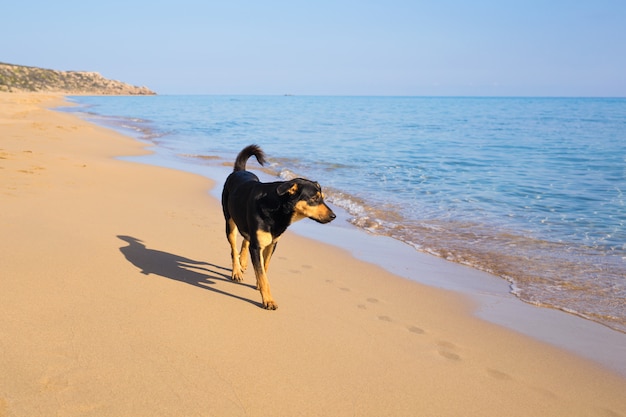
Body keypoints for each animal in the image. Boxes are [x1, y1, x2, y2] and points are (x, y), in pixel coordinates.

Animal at [221, 145, 334, 308]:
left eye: (323, 198)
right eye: (314, 198)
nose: (333, 216)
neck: (278, 209)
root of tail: (239, 171)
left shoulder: (272, 244)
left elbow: (265, 267)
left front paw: (259, 284)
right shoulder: (257, 247)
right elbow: (262, 274)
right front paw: (268, 300)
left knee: (245, 239)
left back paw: (243, 262)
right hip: (229, 222)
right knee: (233, 247)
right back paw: (236, 270)